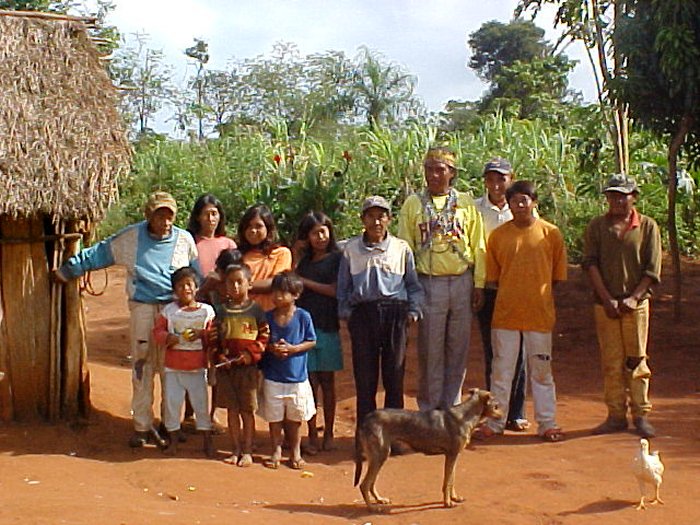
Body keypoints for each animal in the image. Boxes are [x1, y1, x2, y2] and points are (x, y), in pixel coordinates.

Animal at [352, 386, 500, 510]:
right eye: (496, 406)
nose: (502, 415)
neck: (465, 416)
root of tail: (366, 419)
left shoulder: (454, 456)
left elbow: (452, 479)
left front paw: (454, 498)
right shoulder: (451, 455)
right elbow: (447, 482)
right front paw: (447, 502)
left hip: (379, 457)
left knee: (371, 483)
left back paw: (380, 500)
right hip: (379, 456)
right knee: (364, 485)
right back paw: (372, 507)